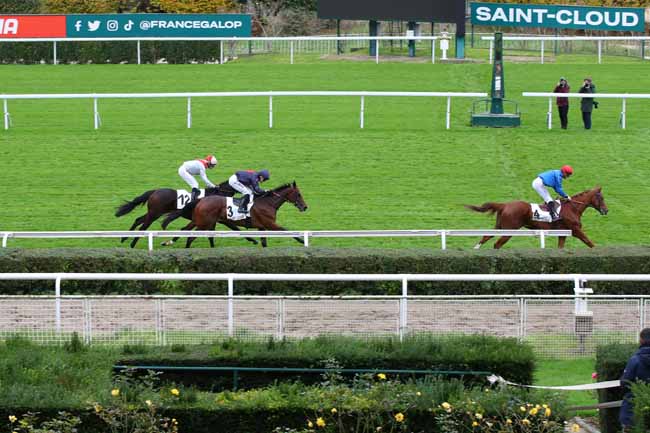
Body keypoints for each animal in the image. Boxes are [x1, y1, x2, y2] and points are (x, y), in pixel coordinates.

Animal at [466, 186, 608, 250]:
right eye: (601, 198)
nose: (606, 210)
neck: (572, 208)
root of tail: (505, 205)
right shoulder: (576, 230)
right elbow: (590, 243)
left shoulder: (563, 233)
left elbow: (560, 247)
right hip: (509, 230)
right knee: (497, 244)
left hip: (500, 226)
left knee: (486, 236)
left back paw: (476, 249)